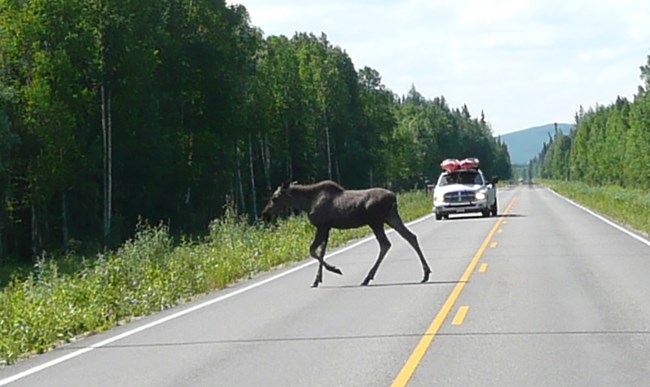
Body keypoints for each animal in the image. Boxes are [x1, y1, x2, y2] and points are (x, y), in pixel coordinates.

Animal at [258, 180, 430, 286]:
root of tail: (393, 197)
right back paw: (425, 273)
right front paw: (317, 279)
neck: (305, 203)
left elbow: (313, 250)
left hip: (376, 222)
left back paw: (367, 277)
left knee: (385, 244)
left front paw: (335, 270)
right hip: (391, 217)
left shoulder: (322, 227)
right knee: (410, 236)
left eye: (275, 198)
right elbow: (321, 251)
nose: (264, 214)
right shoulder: (327, 228)